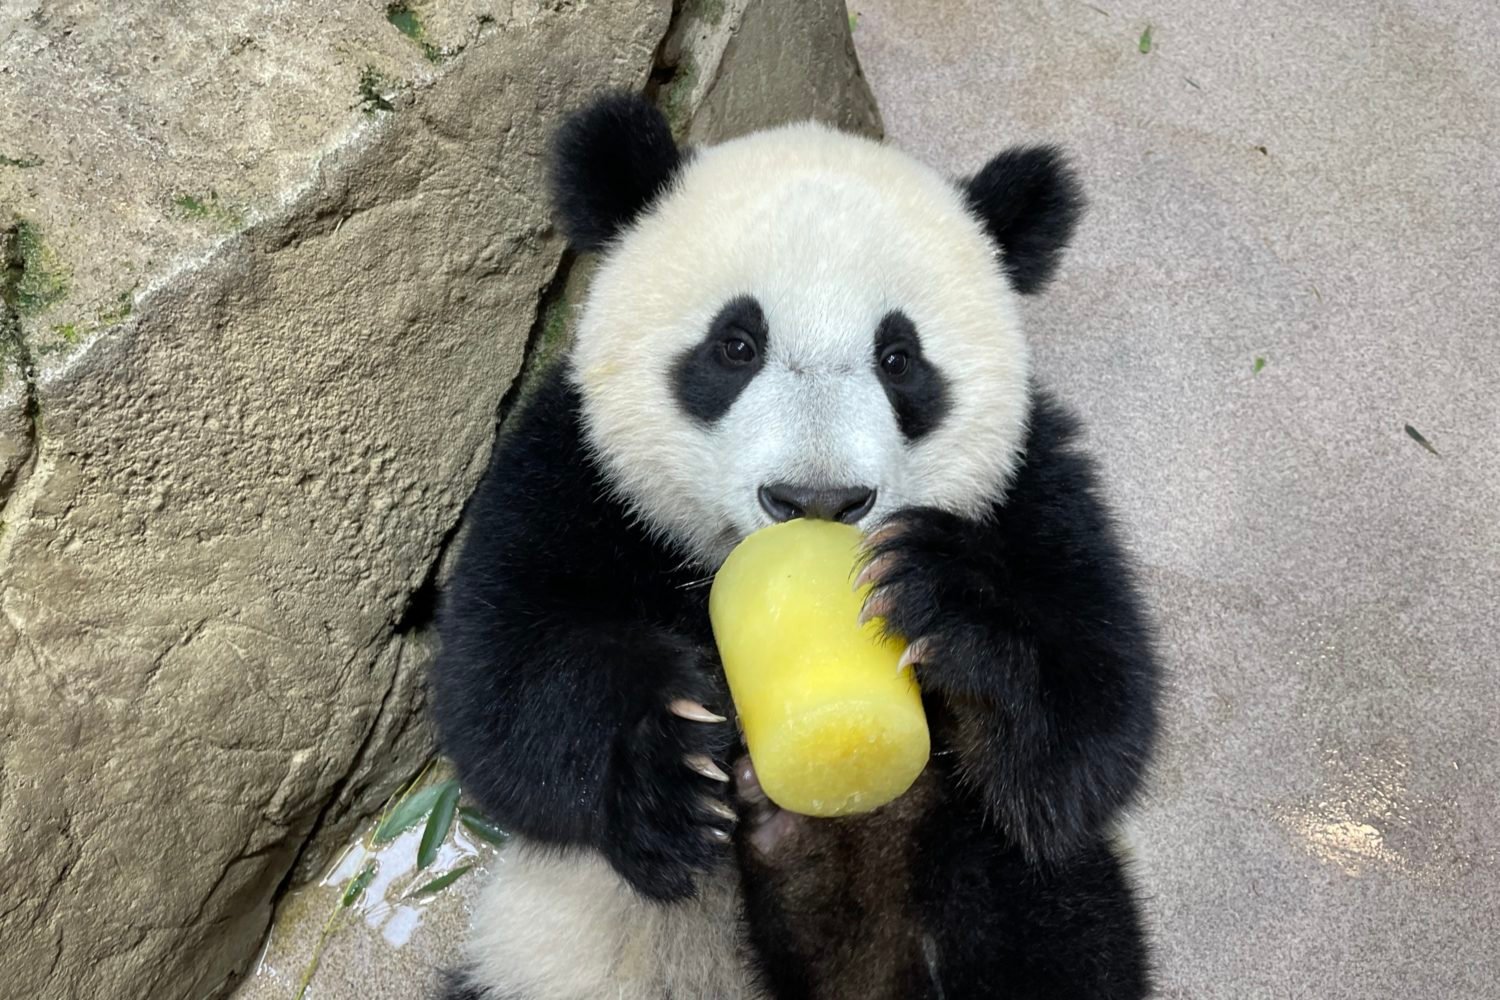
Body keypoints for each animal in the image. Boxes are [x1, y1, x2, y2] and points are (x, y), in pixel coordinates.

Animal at [435, 93, 1158, 1000]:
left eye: (899, 359)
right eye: (736, 346)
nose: (817, 501)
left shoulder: (1029, 488)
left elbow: (1093, 727)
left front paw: (945, 603)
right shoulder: (571, 474)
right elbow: (498, 696)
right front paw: (666, 759)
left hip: (992, 876)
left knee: (1050, 919)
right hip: (546, 957)